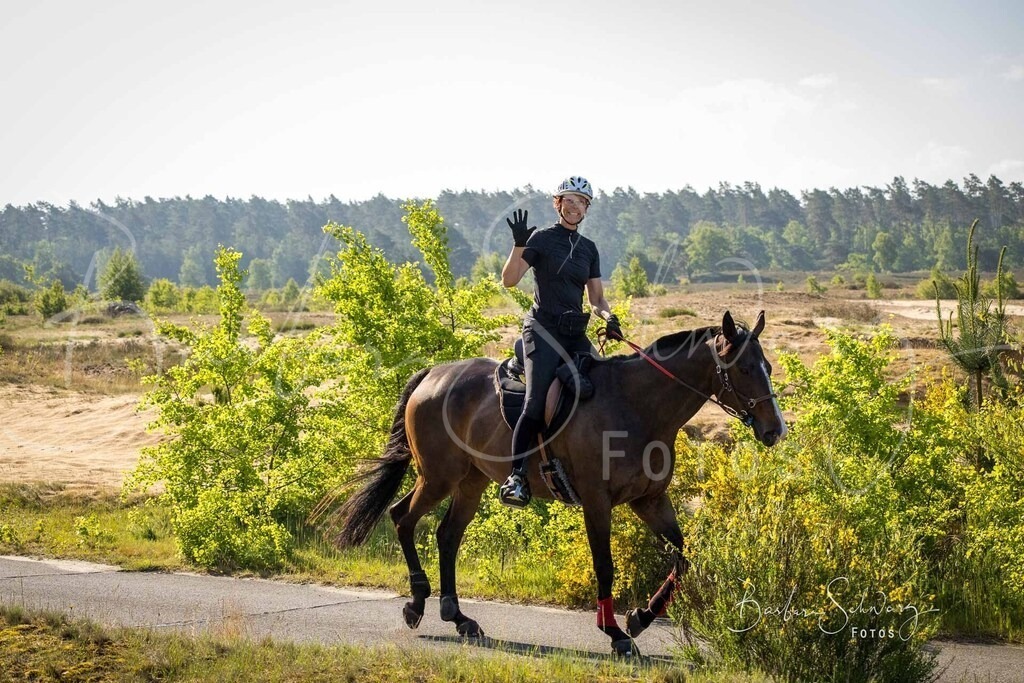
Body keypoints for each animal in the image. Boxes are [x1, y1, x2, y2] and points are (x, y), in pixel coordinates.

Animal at [326, 310, 787, 655]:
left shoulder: (650, 500)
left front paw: (640, 618)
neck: (638, 406)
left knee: (446, 535)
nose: (774, 430)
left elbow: (682, 558)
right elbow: (605, 566)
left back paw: (458, 617)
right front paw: (615, 633)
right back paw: (417, 604)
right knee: (402, 517)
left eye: (767, 366)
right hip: (439, 476)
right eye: (747, 368)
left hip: (470, 481)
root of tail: (432, 374)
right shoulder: (597, 502)